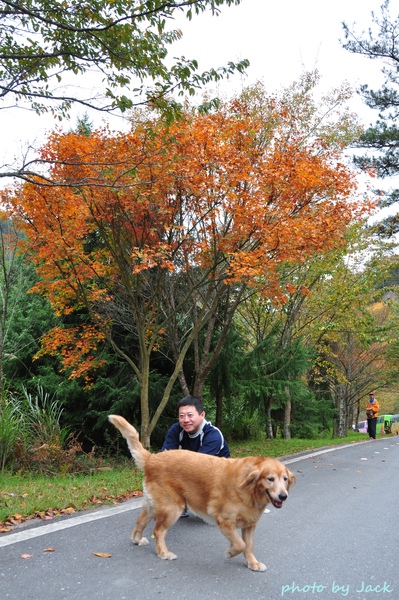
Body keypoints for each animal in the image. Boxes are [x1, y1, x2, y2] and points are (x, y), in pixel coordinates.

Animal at [108, 414, 296, 568]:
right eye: (270, 479)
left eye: (285, 479)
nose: (283, 496)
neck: (250, 491)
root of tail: (152, 458)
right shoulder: (224, 521)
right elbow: (240, 544)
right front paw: (230, 552)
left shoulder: (249, 525)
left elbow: (248, 546)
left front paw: (252, 563)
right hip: (172, 508)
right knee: (158, 530)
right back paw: (164, 553)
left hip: (154, 505)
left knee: (140, 521)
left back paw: (137, 539)